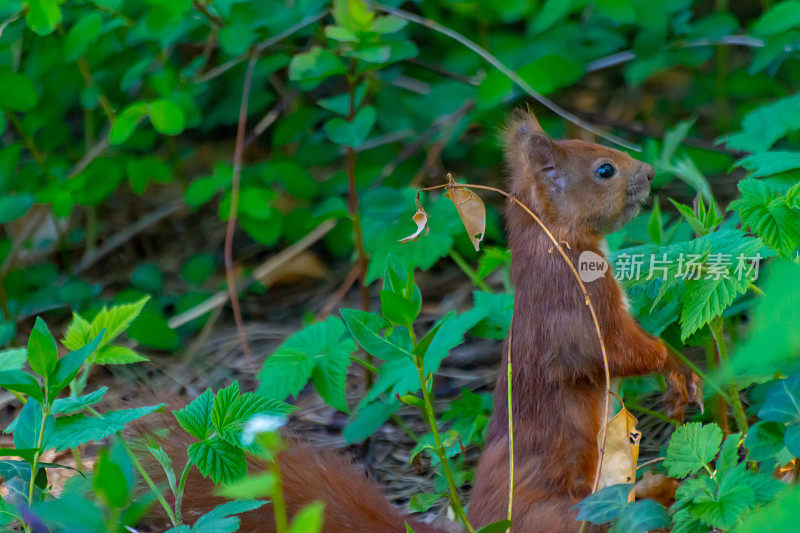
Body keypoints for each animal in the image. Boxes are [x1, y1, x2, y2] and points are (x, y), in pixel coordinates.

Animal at [144, 109, 700, 532]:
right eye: (604, 169)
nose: (649, 172)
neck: (557, 244)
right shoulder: (575, 305)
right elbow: (614, 350)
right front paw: (678, 369)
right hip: (561, 512)